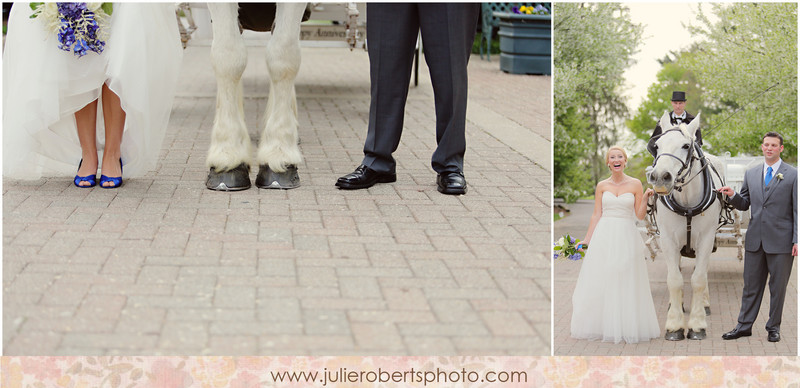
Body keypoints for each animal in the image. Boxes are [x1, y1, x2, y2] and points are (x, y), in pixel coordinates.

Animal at [644, 111, 724, 340]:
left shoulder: (706, 238)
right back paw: (676, 304)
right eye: (657, 145)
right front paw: (675, 325)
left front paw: (697, 325)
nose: (660, 177)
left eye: (686, 146)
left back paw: (704, 304)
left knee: (702, 272)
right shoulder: (668, 239)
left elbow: (698, 279)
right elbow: (674, 279)